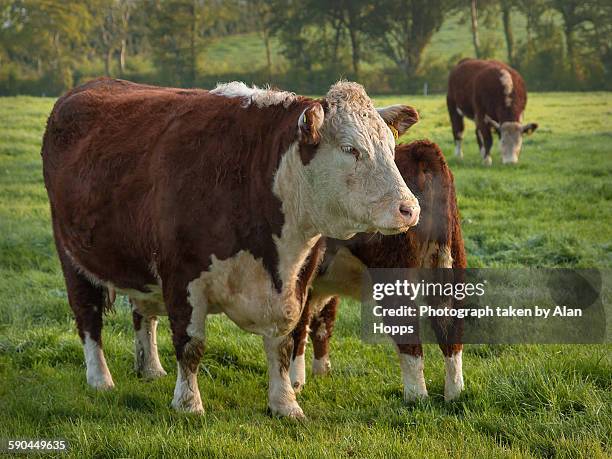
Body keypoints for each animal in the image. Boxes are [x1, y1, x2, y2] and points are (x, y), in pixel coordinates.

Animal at [39, 77, 420, 418]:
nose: (409, 208)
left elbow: (283, 344)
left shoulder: (295, 280)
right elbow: (191, 345)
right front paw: (188, 403)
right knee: (87, 315)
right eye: (350, 149)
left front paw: (285, 404)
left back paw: (150, 369)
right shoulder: (183, 276)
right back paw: (100, 379)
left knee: (143, 313)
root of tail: (85, 87)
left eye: (389, 147)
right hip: (72, 255)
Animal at [286, 140, 464, 402]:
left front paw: (295, 382)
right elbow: (322, 322)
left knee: (408, 329)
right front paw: (320, 372)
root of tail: (420, 148)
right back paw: (454, 393)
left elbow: (299, 325)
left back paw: (416, 397)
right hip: (450, 262)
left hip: (395, 273)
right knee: (450, 324)